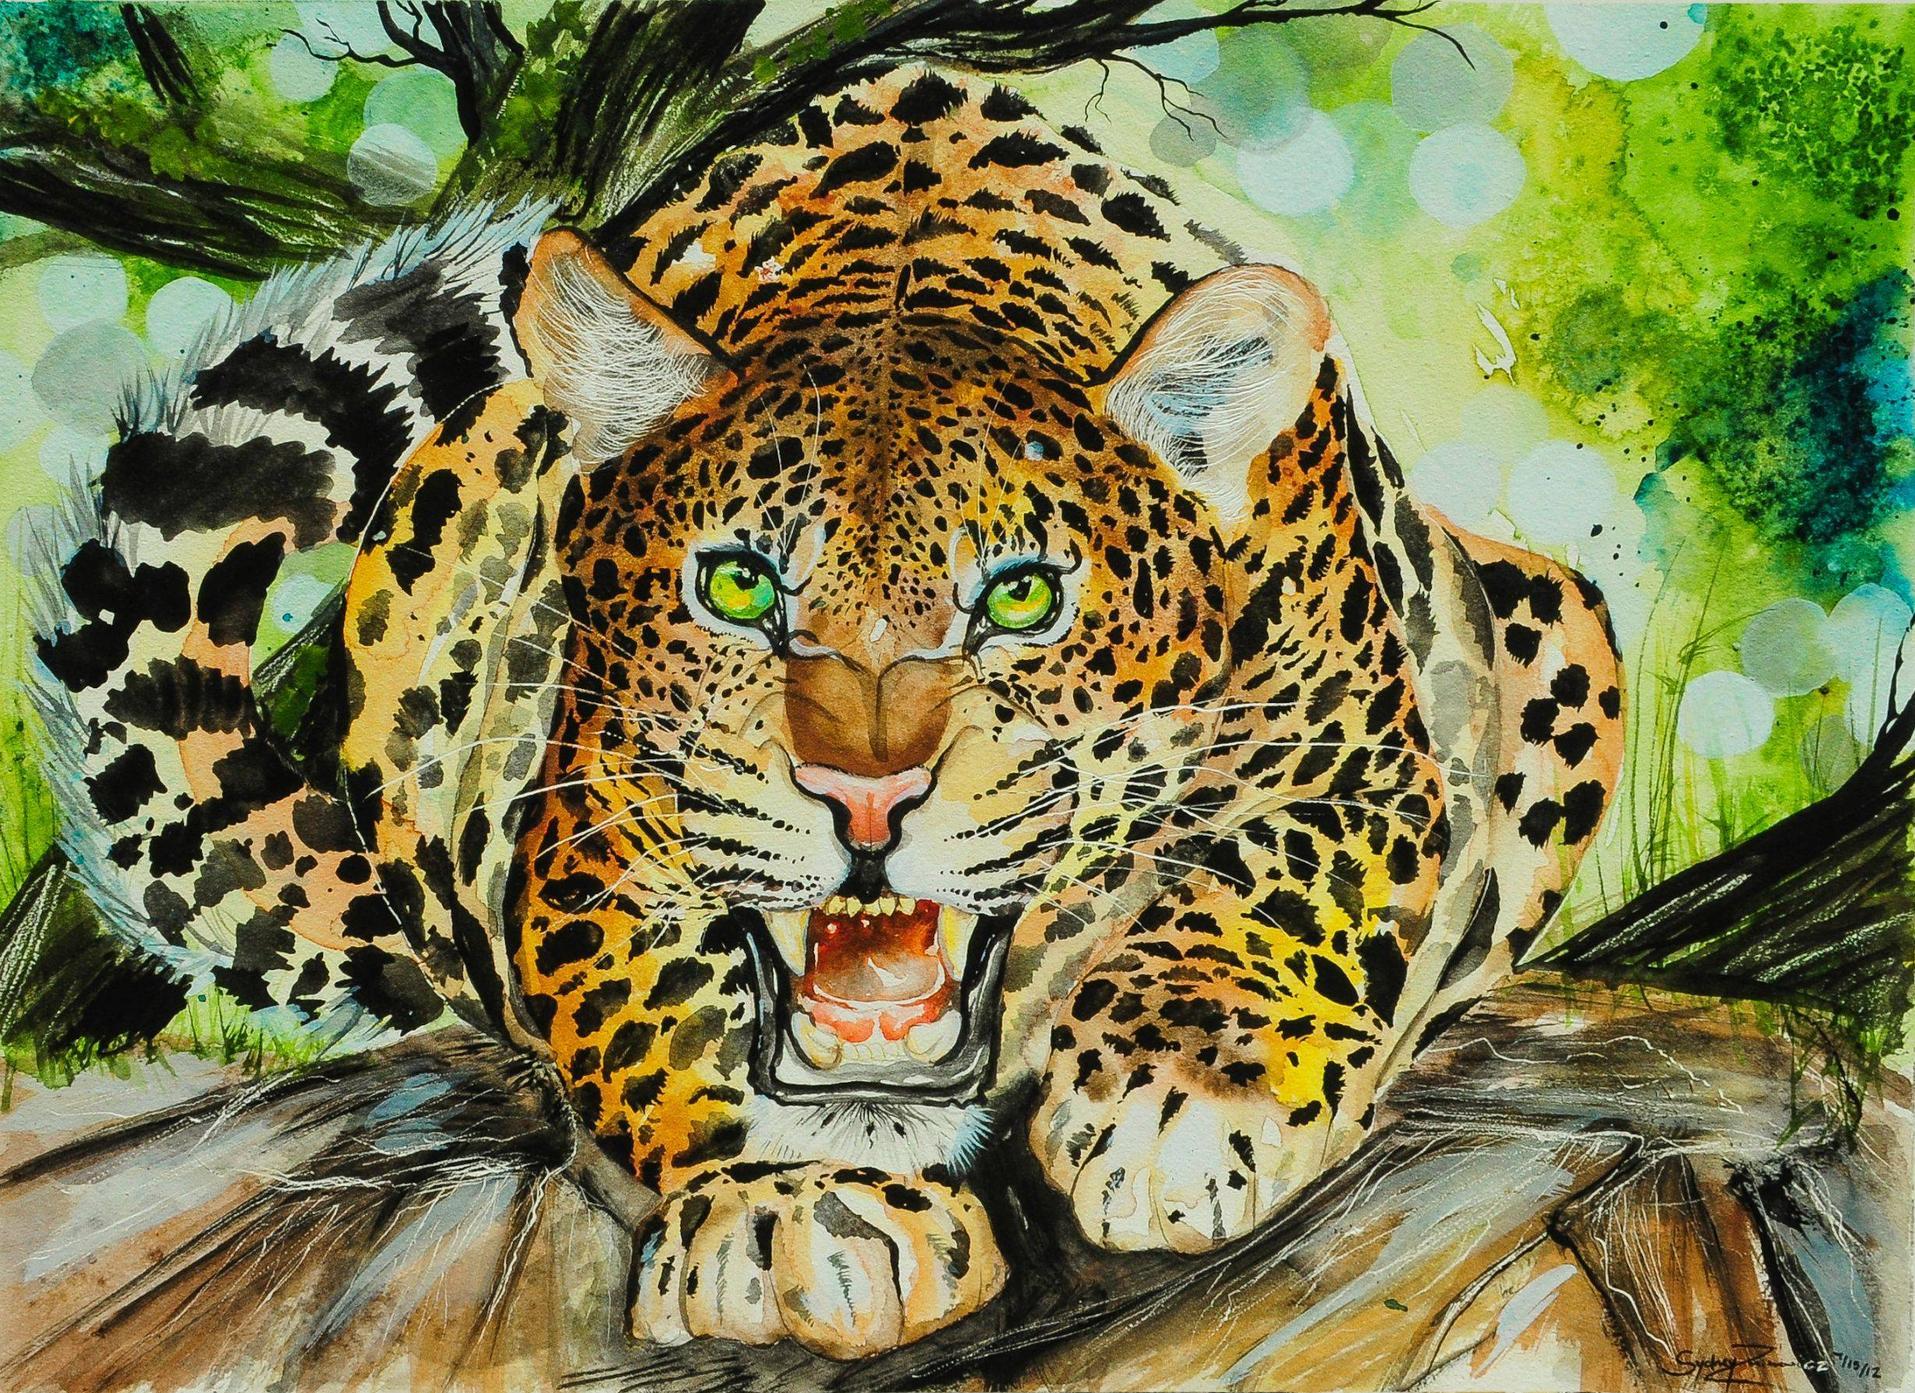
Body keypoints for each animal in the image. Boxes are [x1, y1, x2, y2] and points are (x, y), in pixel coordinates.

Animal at [23, 68, 1622, 1360]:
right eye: (736, 584)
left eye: (1022, 598)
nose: (863, 800)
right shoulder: (590, 830)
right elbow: (654, 1007)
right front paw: (801, 1205)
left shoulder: (1363, 769)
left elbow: (1261, 887)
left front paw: (1175, 1105)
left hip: (1551, 618)